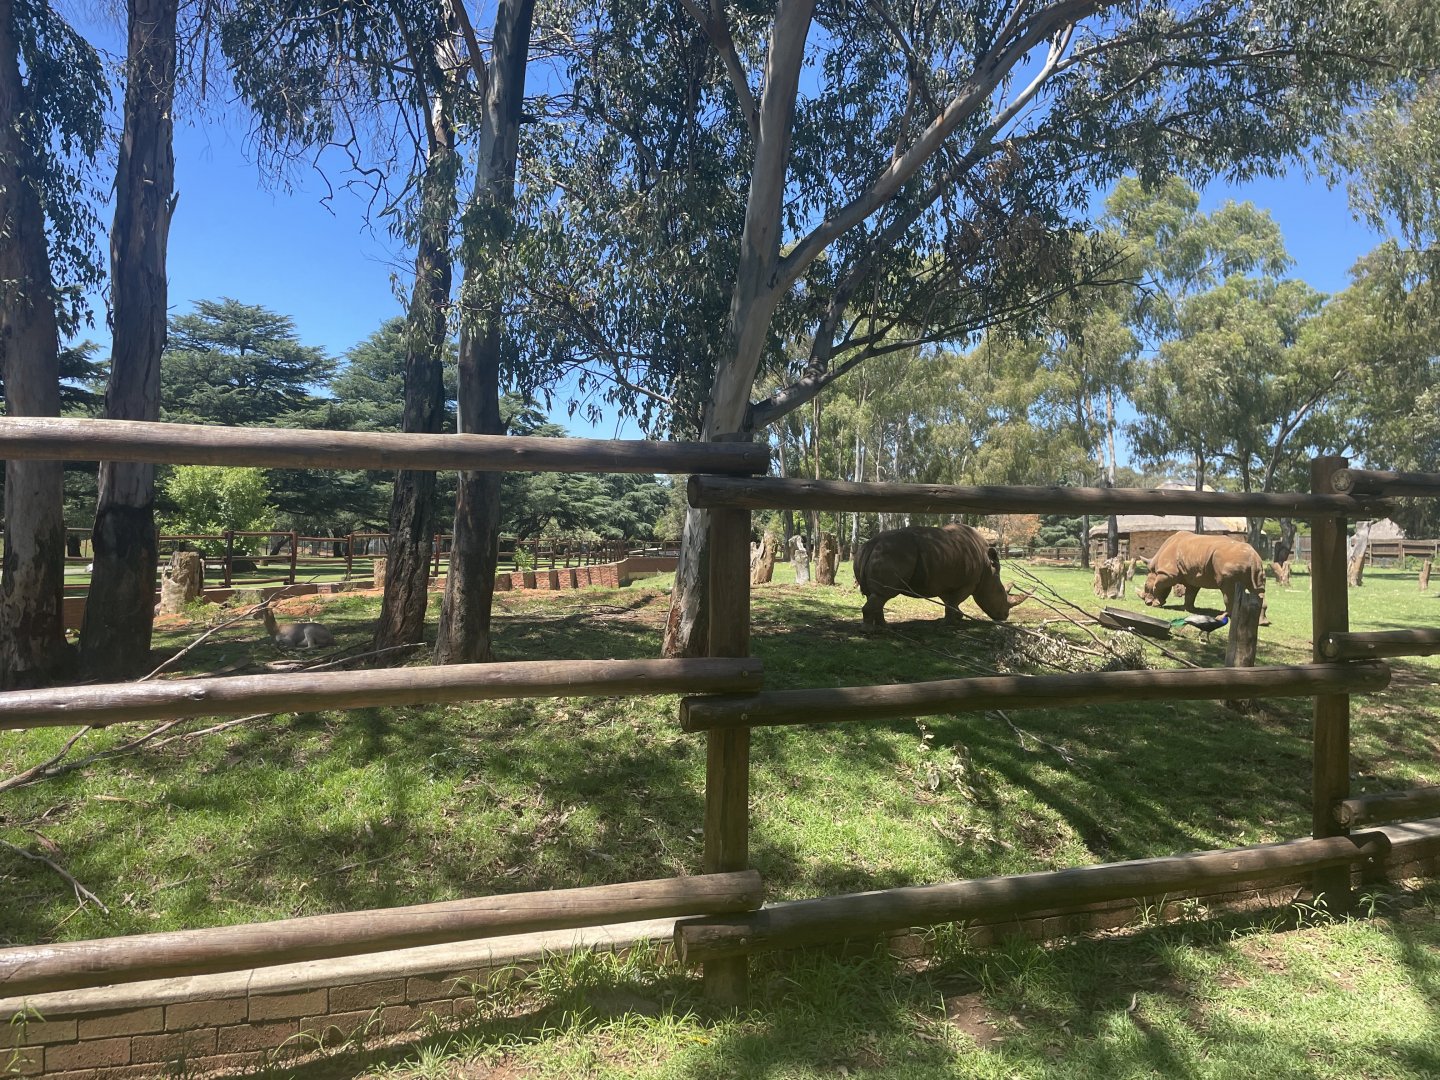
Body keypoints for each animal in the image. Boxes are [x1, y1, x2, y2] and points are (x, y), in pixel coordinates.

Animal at [853, 524, 1030, 632]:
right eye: (1001, 593)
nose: (1005, 616)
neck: (988, 570)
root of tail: (872, 543)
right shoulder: (969, 583)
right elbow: (953, 602)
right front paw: (949, 623)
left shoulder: (944, 582)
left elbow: (949, 601)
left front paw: (956, 618)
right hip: (893, 552)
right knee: (884, 594)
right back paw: (870, 631)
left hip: (870, 552)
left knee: (876, 595)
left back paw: (885, 628)